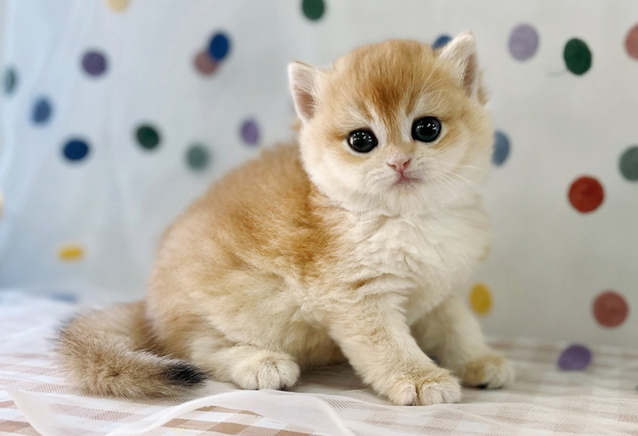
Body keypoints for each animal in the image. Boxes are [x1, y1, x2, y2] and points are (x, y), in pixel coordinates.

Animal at [57, 32, 514, 406]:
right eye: (362, 140)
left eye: (427, 128)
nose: (400, 162)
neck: (407, 219)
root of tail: (146, 306)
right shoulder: (357, 298)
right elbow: (388, 345)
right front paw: (420, 378)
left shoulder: (440, 288)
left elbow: (460, 326)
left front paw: (480, 360)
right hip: (233, 308)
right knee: (196, 349)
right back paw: (259, 363)